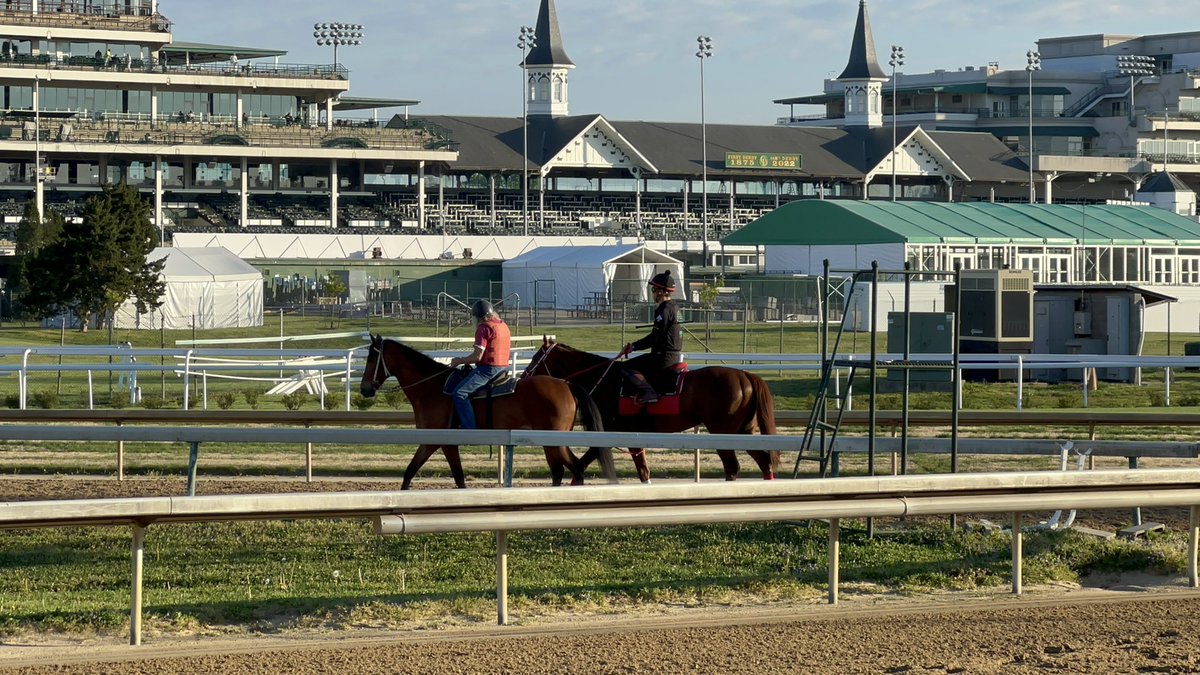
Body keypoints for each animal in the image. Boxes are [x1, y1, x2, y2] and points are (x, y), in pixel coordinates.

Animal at [360, 333, 609, 487]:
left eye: (372, 358)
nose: (364, 388)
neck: (432, 387)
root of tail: (566, 384)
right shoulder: (431, 442)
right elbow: (410, 473)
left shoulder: (441, 442)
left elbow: (455, 478)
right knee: (564, 470)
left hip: (554, 441)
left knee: (573, 469)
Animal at [523, 338, 782, 480]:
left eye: (535, 358)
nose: (524, 377)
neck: (607, 381)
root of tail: (745, 375)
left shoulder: (617, 433)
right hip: (743, 430)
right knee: (763, 461)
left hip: (723, 431)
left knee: (733, 466)